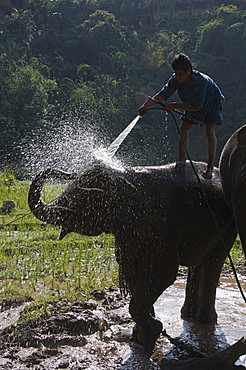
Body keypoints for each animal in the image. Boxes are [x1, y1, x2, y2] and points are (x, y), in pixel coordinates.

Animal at [27, 160, 237, 352]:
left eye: (80, 196)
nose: (66, 172)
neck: (125, 175)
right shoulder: (129, 233)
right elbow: (131, 271)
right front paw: (141, 337)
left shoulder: (160, 226)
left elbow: (163, 274)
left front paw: (152, 332)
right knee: (198, 265)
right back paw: (188, 316)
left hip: (228, 226)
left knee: (212, 264)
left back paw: (204, 321)